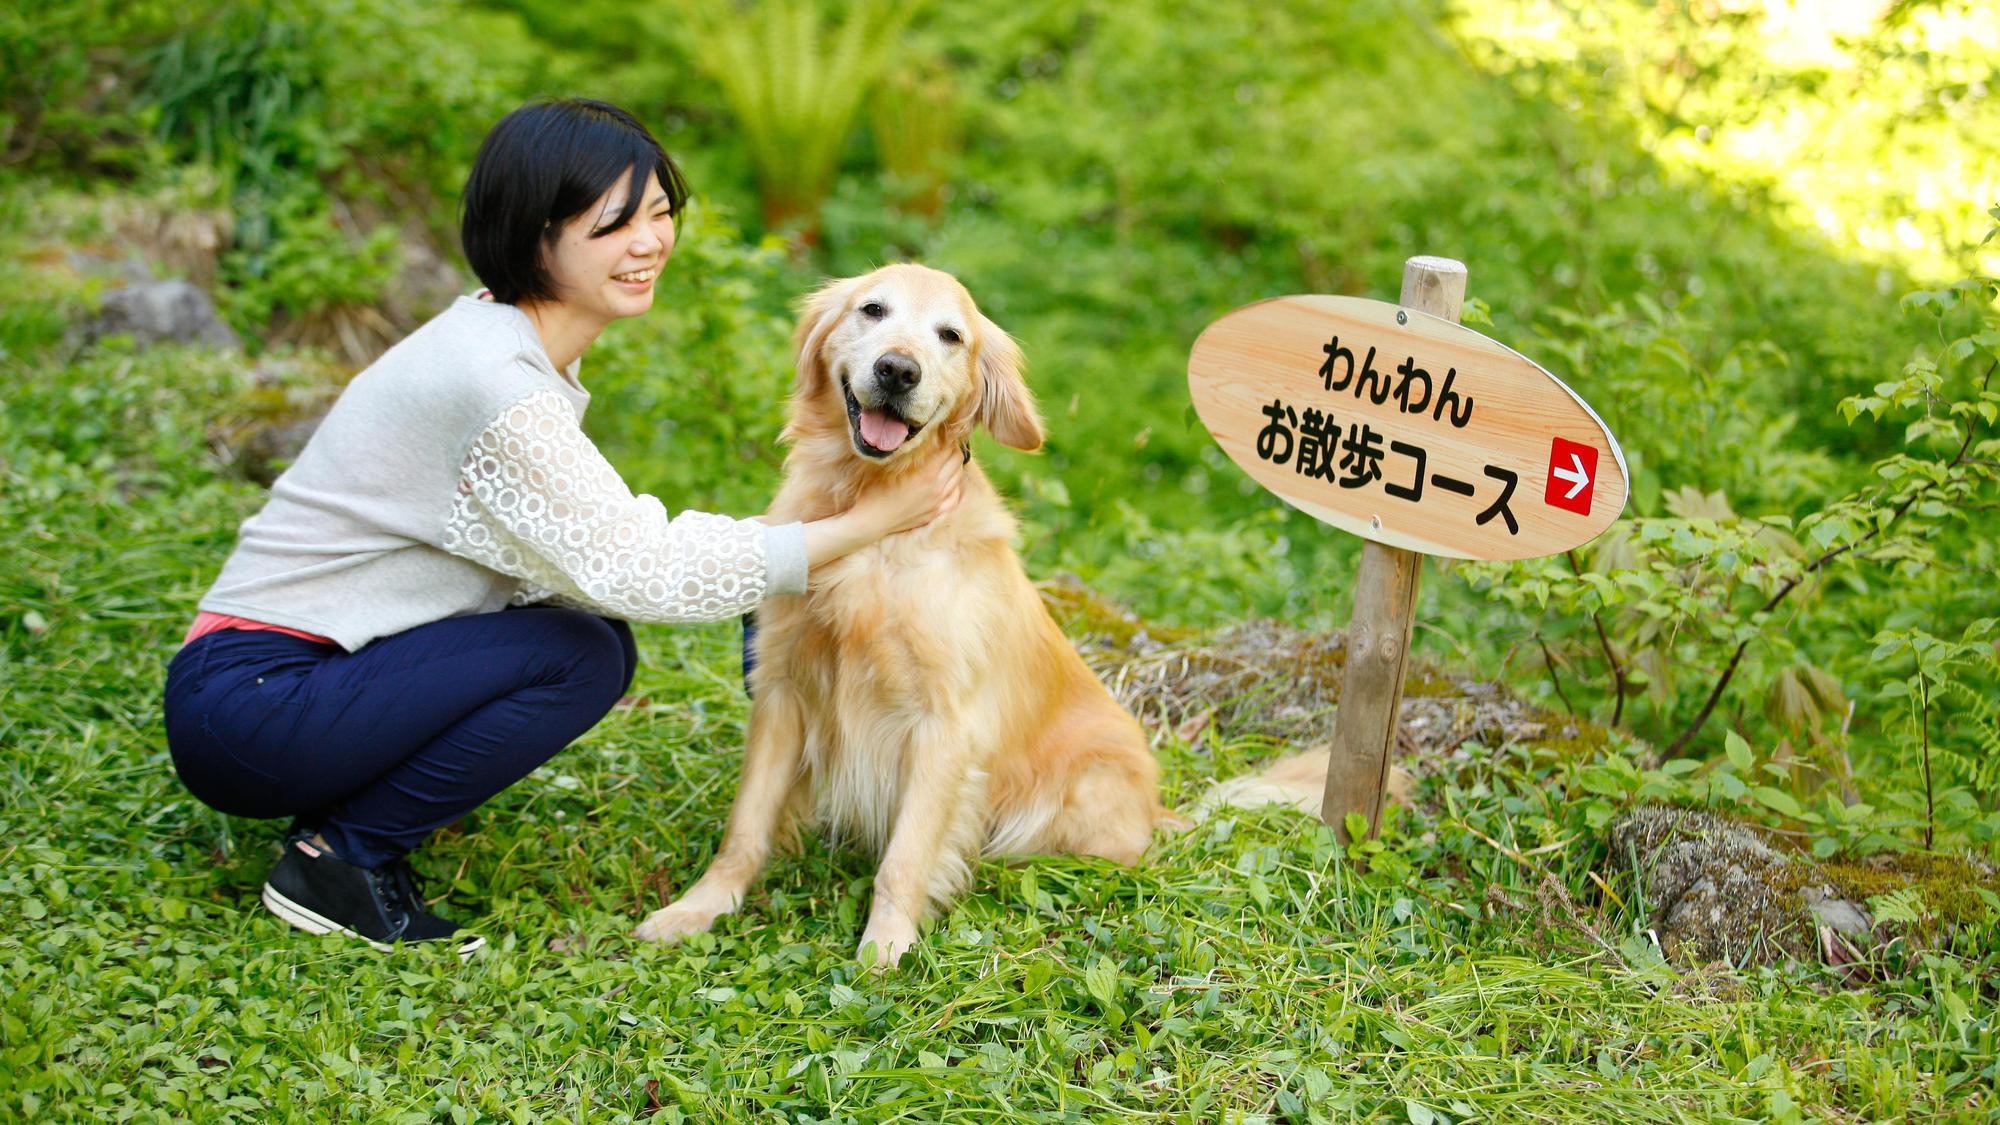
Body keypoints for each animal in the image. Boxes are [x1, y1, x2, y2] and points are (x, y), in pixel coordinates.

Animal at [636, 262, 1168, 964]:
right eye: (872, 310)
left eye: (951, 335)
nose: (897, 370)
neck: (875, 519)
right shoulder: (782, 690)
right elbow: (745, 826)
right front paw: (700, 908)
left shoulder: (944, 726)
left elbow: (906, 857)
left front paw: (884, 949)